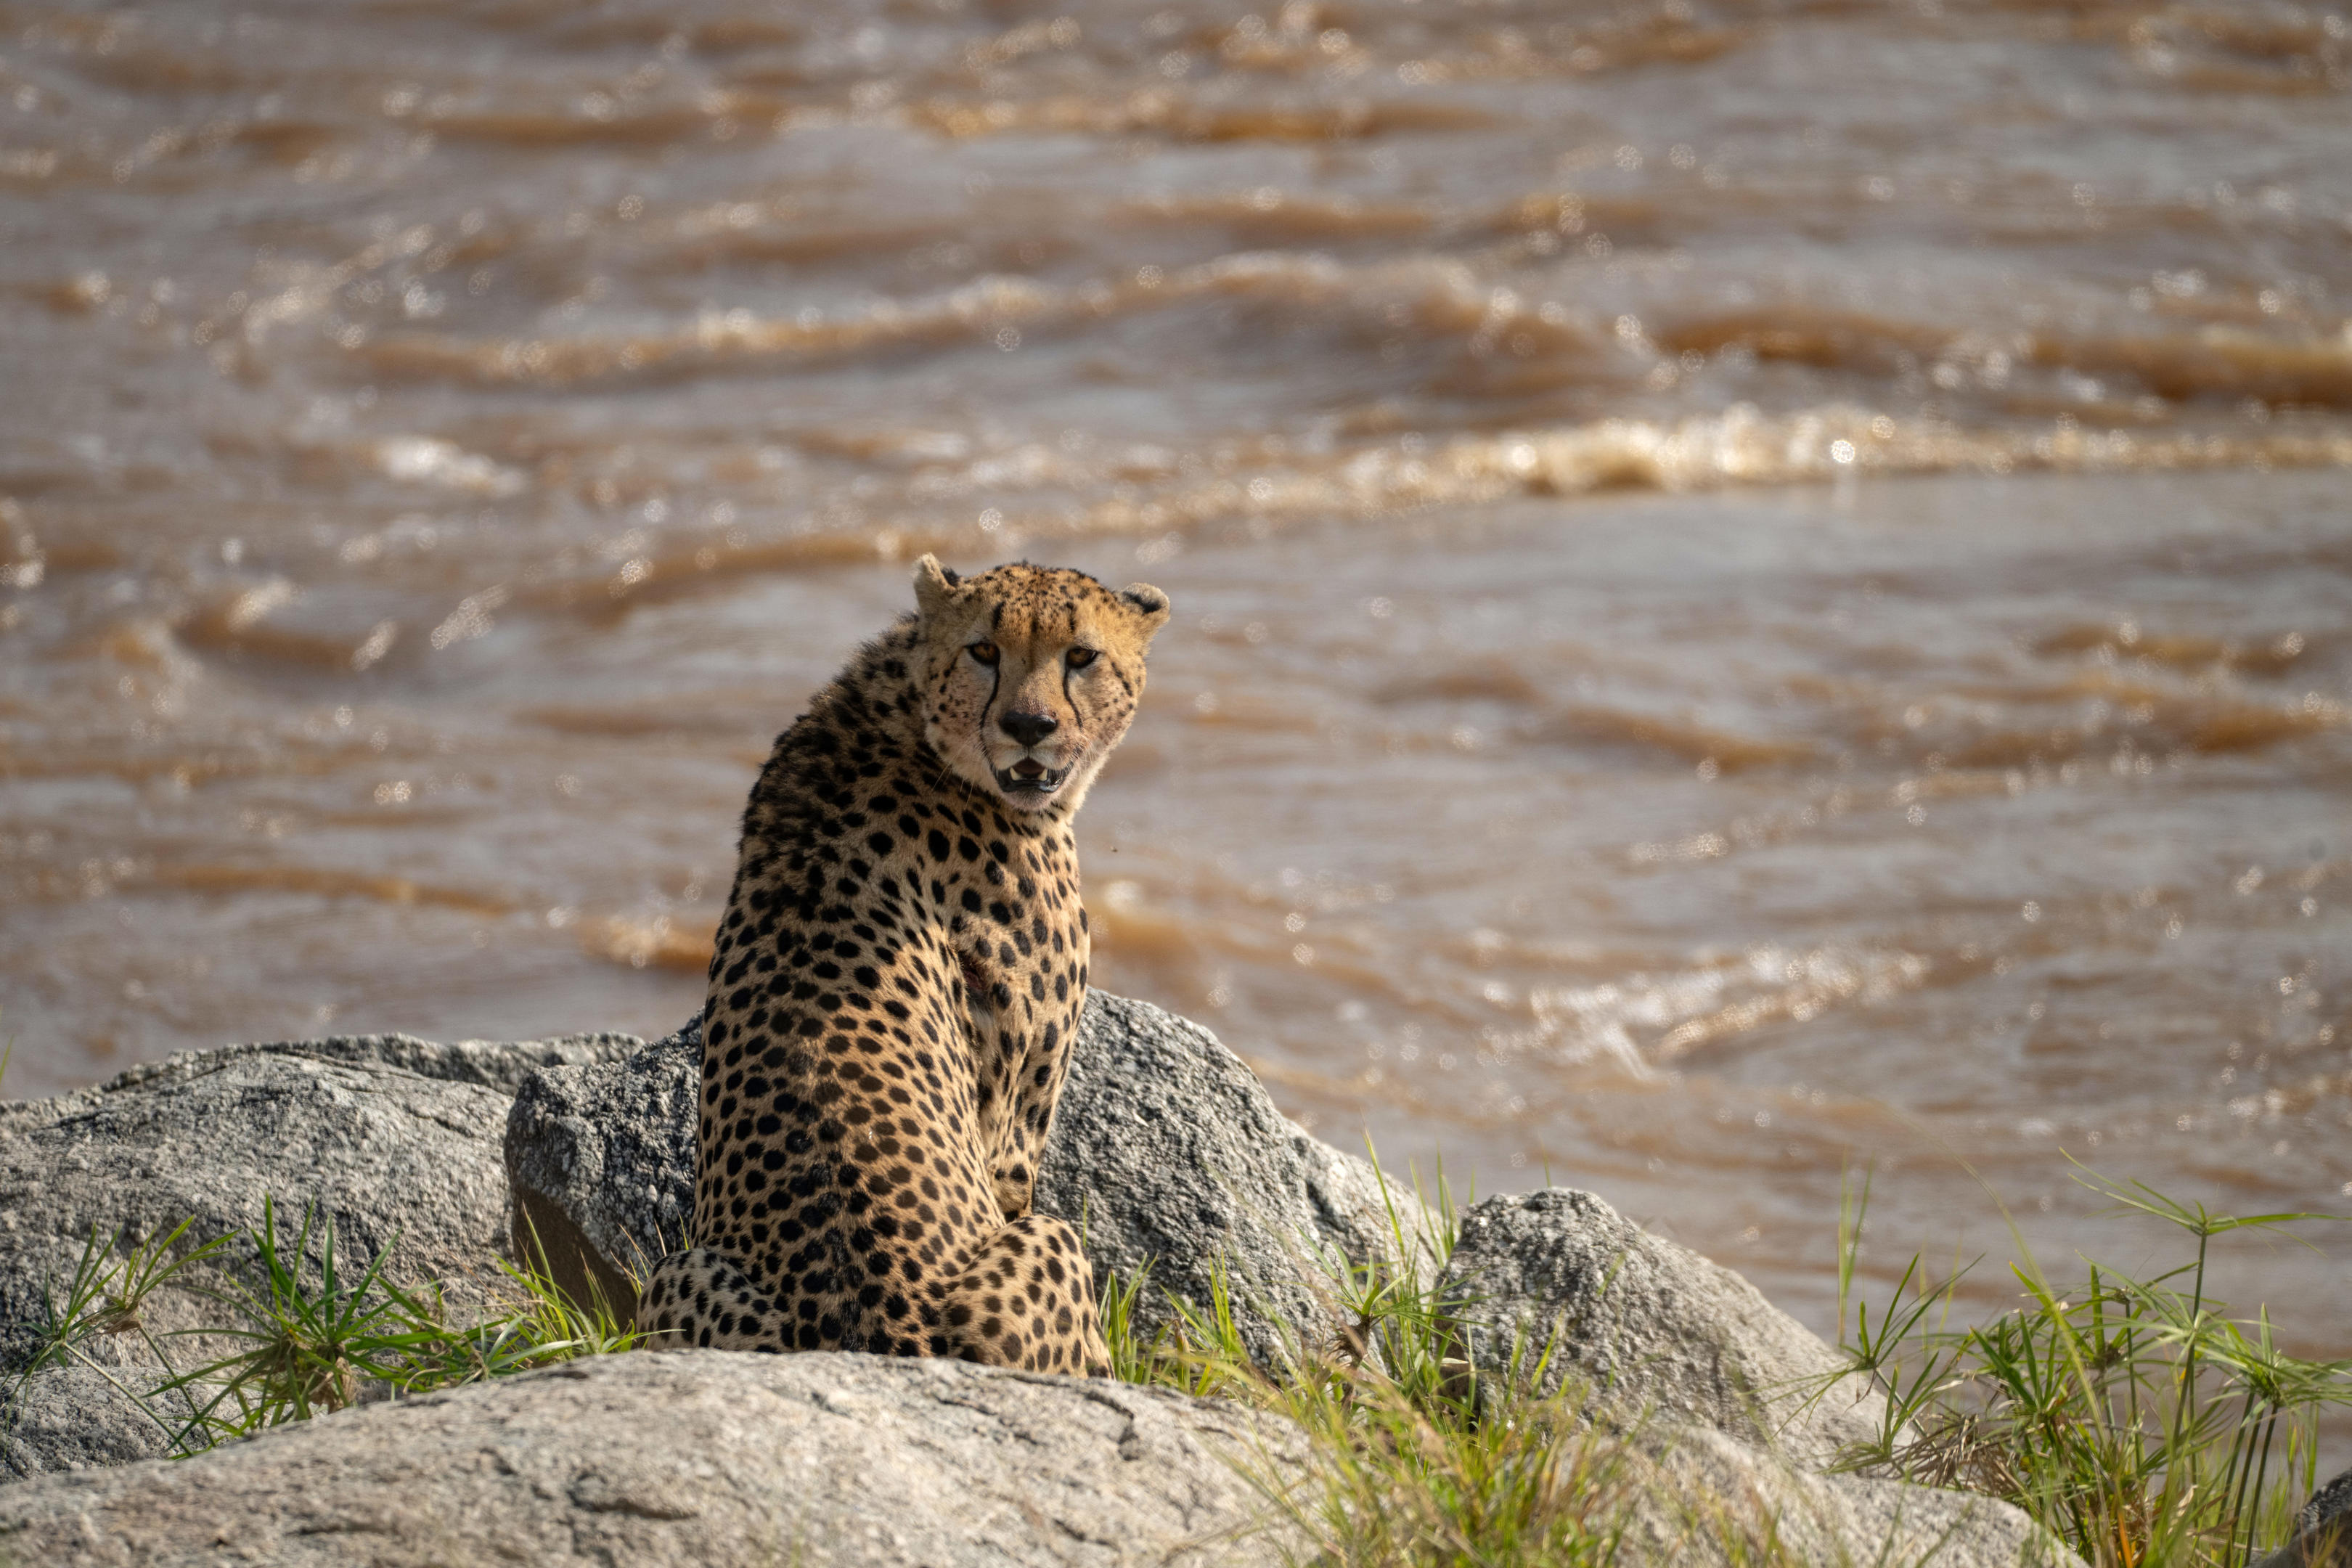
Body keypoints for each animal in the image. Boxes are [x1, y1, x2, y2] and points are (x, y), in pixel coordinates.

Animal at [634, 554, 1170, 1376]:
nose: (1029, 728)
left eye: (1081, 656)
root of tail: (879, 1336)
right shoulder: (1016, 1127)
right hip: (1051, 1239)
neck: (911, 713)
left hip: (678, 1271)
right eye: (984, 651)